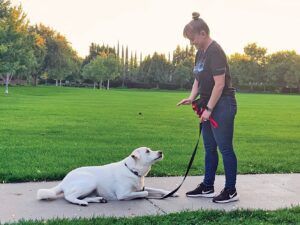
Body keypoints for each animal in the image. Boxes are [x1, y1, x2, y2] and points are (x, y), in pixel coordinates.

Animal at [37, 147, 178, 205]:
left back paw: (98, 199)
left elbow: (156, 189)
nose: (161, 152)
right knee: (69, 197)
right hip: (89, 182)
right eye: (147, 151)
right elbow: (145, 193)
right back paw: (81, 203)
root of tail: (64, 180)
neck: (132, 170)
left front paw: (170, 193)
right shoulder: (123, 194)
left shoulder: (141, 186)